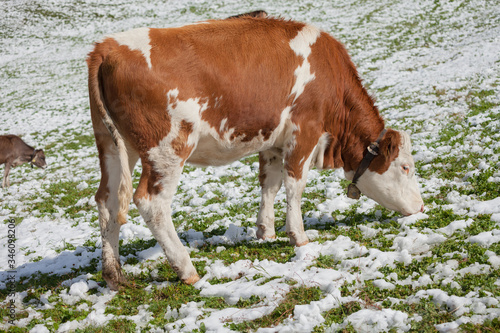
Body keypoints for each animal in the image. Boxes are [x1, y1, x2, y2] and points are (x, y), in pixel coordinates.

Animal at [88, 16, 424, 288]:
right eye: (406, 167)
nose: (421, 207)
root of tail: (107, 47)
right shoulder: (304, 131)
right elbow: (294, 185)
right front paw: (299, 237)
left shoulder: (273, 141)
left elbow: (269, 184)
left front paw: (266, 231)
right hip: (167, 147)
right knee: (151, 202)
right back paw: (186, 269)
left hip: (114, 146)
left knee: (108, 201)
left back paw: (114, 275)